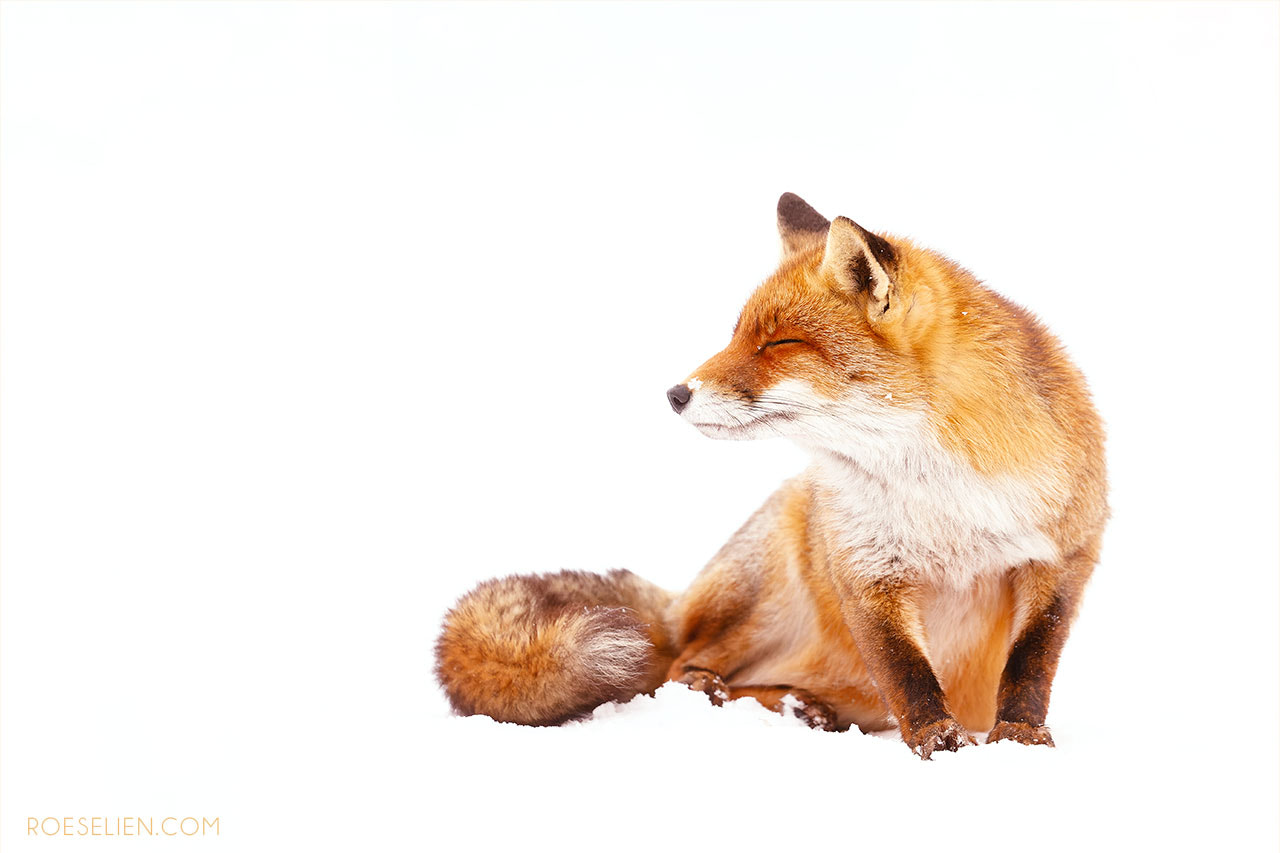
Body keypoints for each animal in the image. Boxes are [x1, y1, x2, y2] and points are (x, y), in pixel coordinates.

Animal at [434, 193, 1108, 758]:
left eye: (779, 344)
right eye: (737, 335)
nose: (675, 394)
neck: (944, 497)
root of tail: (678, 606)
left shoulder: (1063, 558)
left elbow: (1030, 666)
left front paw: (1020, 739)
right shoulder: (866, 568)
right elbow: (908, 674)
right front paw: (940, 745)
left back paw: (799, 707)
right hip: (771, 573)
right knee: (679, 667)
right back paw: (743, 698)